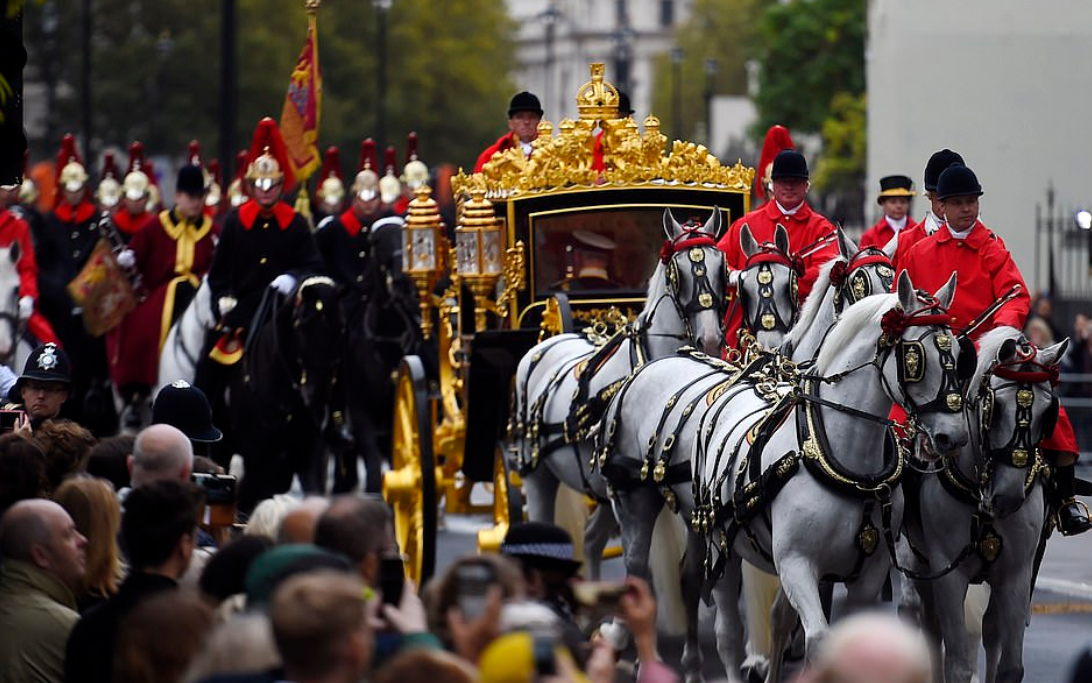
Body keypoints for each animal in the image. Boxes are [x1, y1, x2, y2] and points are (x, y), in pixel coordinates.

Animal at [602, 268, 969, 677]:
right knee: (703, 615)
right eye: (914, 356)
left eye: (958, 354)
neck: (837, 455)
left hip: (697, 520)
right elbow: (816, 639)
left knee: (692, 580)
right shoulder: (796, 564)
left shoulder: (869, 574)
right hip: (668, 518)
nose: (952, 436)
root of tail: (656, 366)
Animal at [904, 327, 1065, 681]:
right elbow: (958, 664)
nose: (1008, 497)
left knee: (990, 632)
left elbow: (1011, 665)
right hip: (917, 564)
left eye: (1048, 413)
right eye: (997, 408)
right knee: (924, 622)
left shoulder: (1016, 575)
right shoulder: (948, 574)